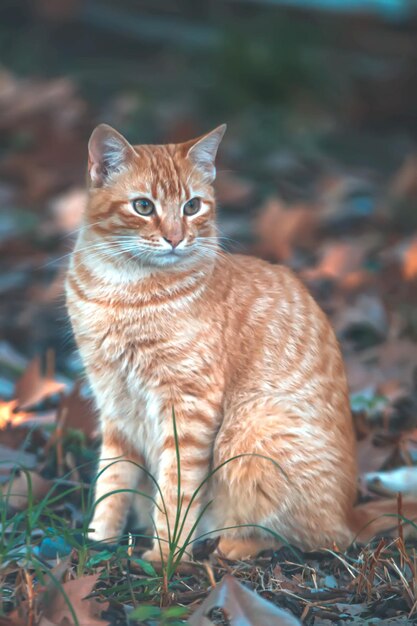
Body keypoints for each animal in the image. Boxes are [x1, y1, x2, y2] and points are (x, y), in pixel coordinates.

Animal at [66, 123, 416, 560]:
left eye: (192, 206)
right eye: (143, 206)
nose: (175, 238)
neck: (123, 291)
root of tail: (350, 511)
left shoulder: (188, 406)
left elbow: (176, 489)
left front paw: (166, 556)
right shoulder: (114, 403)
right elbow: (111, 481)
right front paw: (98, 542)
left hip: (254, 430)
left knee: (314, 538)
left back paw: (230, 544)